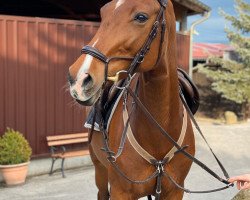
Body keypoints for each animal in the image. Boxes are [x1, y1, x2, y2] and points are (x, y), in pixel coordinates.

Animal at [68, 0, 195, 199]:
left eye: (141, 17)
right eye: (103, 14)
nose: (79, 77)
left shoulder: (175, 191)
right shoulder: (120, 191)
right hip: (100, 170)